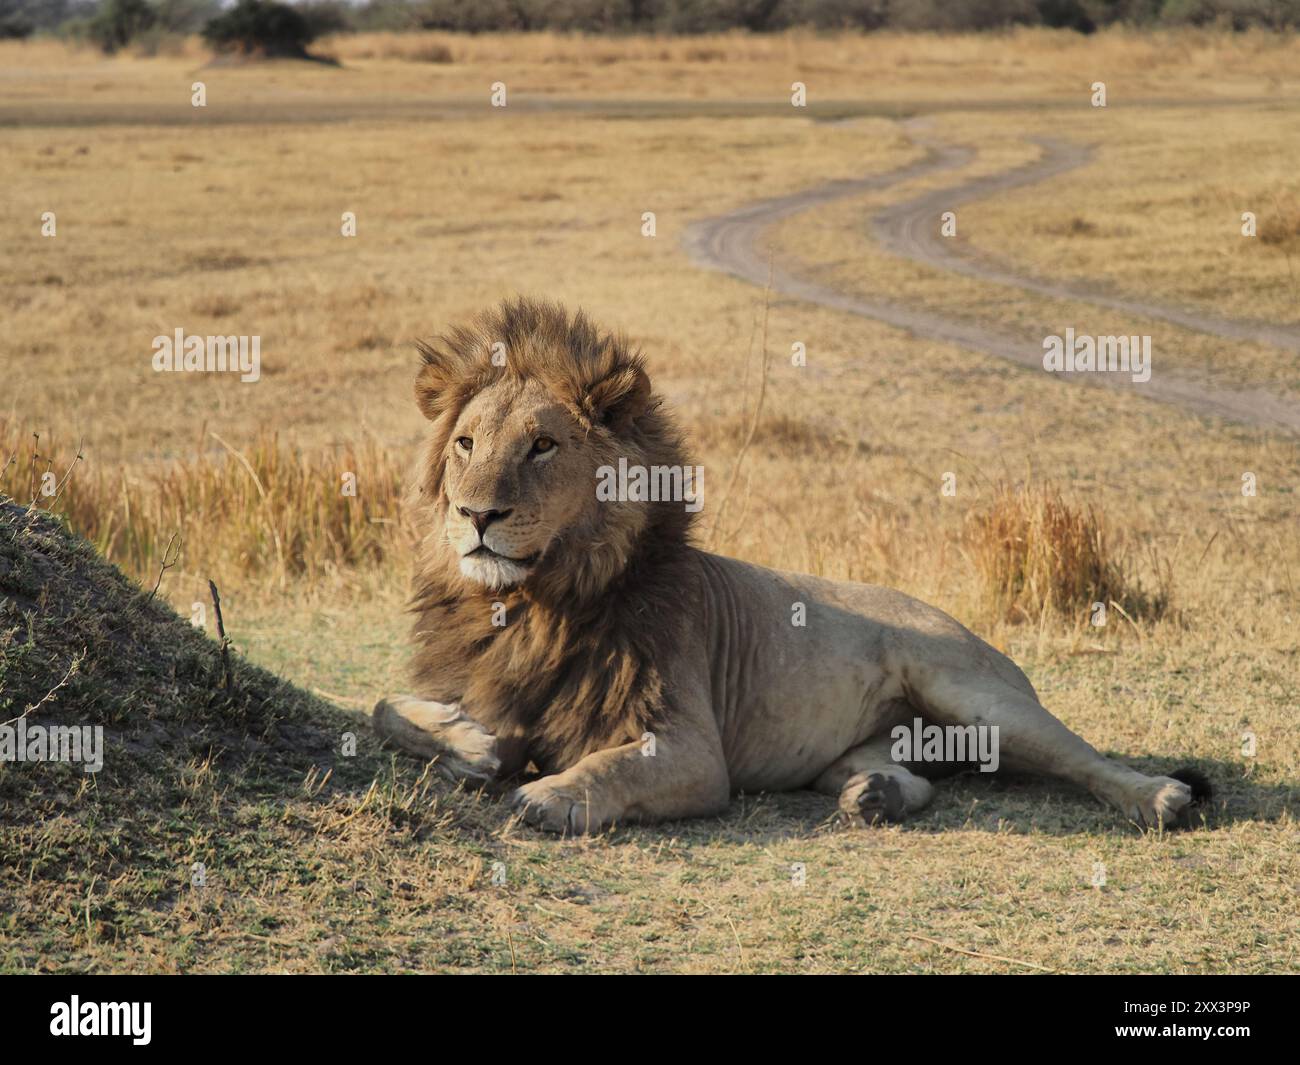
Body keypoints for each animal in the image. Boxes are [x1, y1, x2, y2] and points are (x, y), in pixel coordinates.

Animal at [374, 295, 1206, 837]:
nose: (476, 516)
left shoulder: (690, 748)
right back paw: (877, 795)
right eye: (466, 444)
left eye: (543, 446)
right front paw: (470, 743)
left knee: (1086, 756)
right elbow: (386, 709)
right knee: (908, 777)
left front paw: (548, 794)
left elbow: (609, 768)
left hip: (977, 695)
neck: (532, 602)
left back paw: (1159, 798)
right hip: (867, 749)